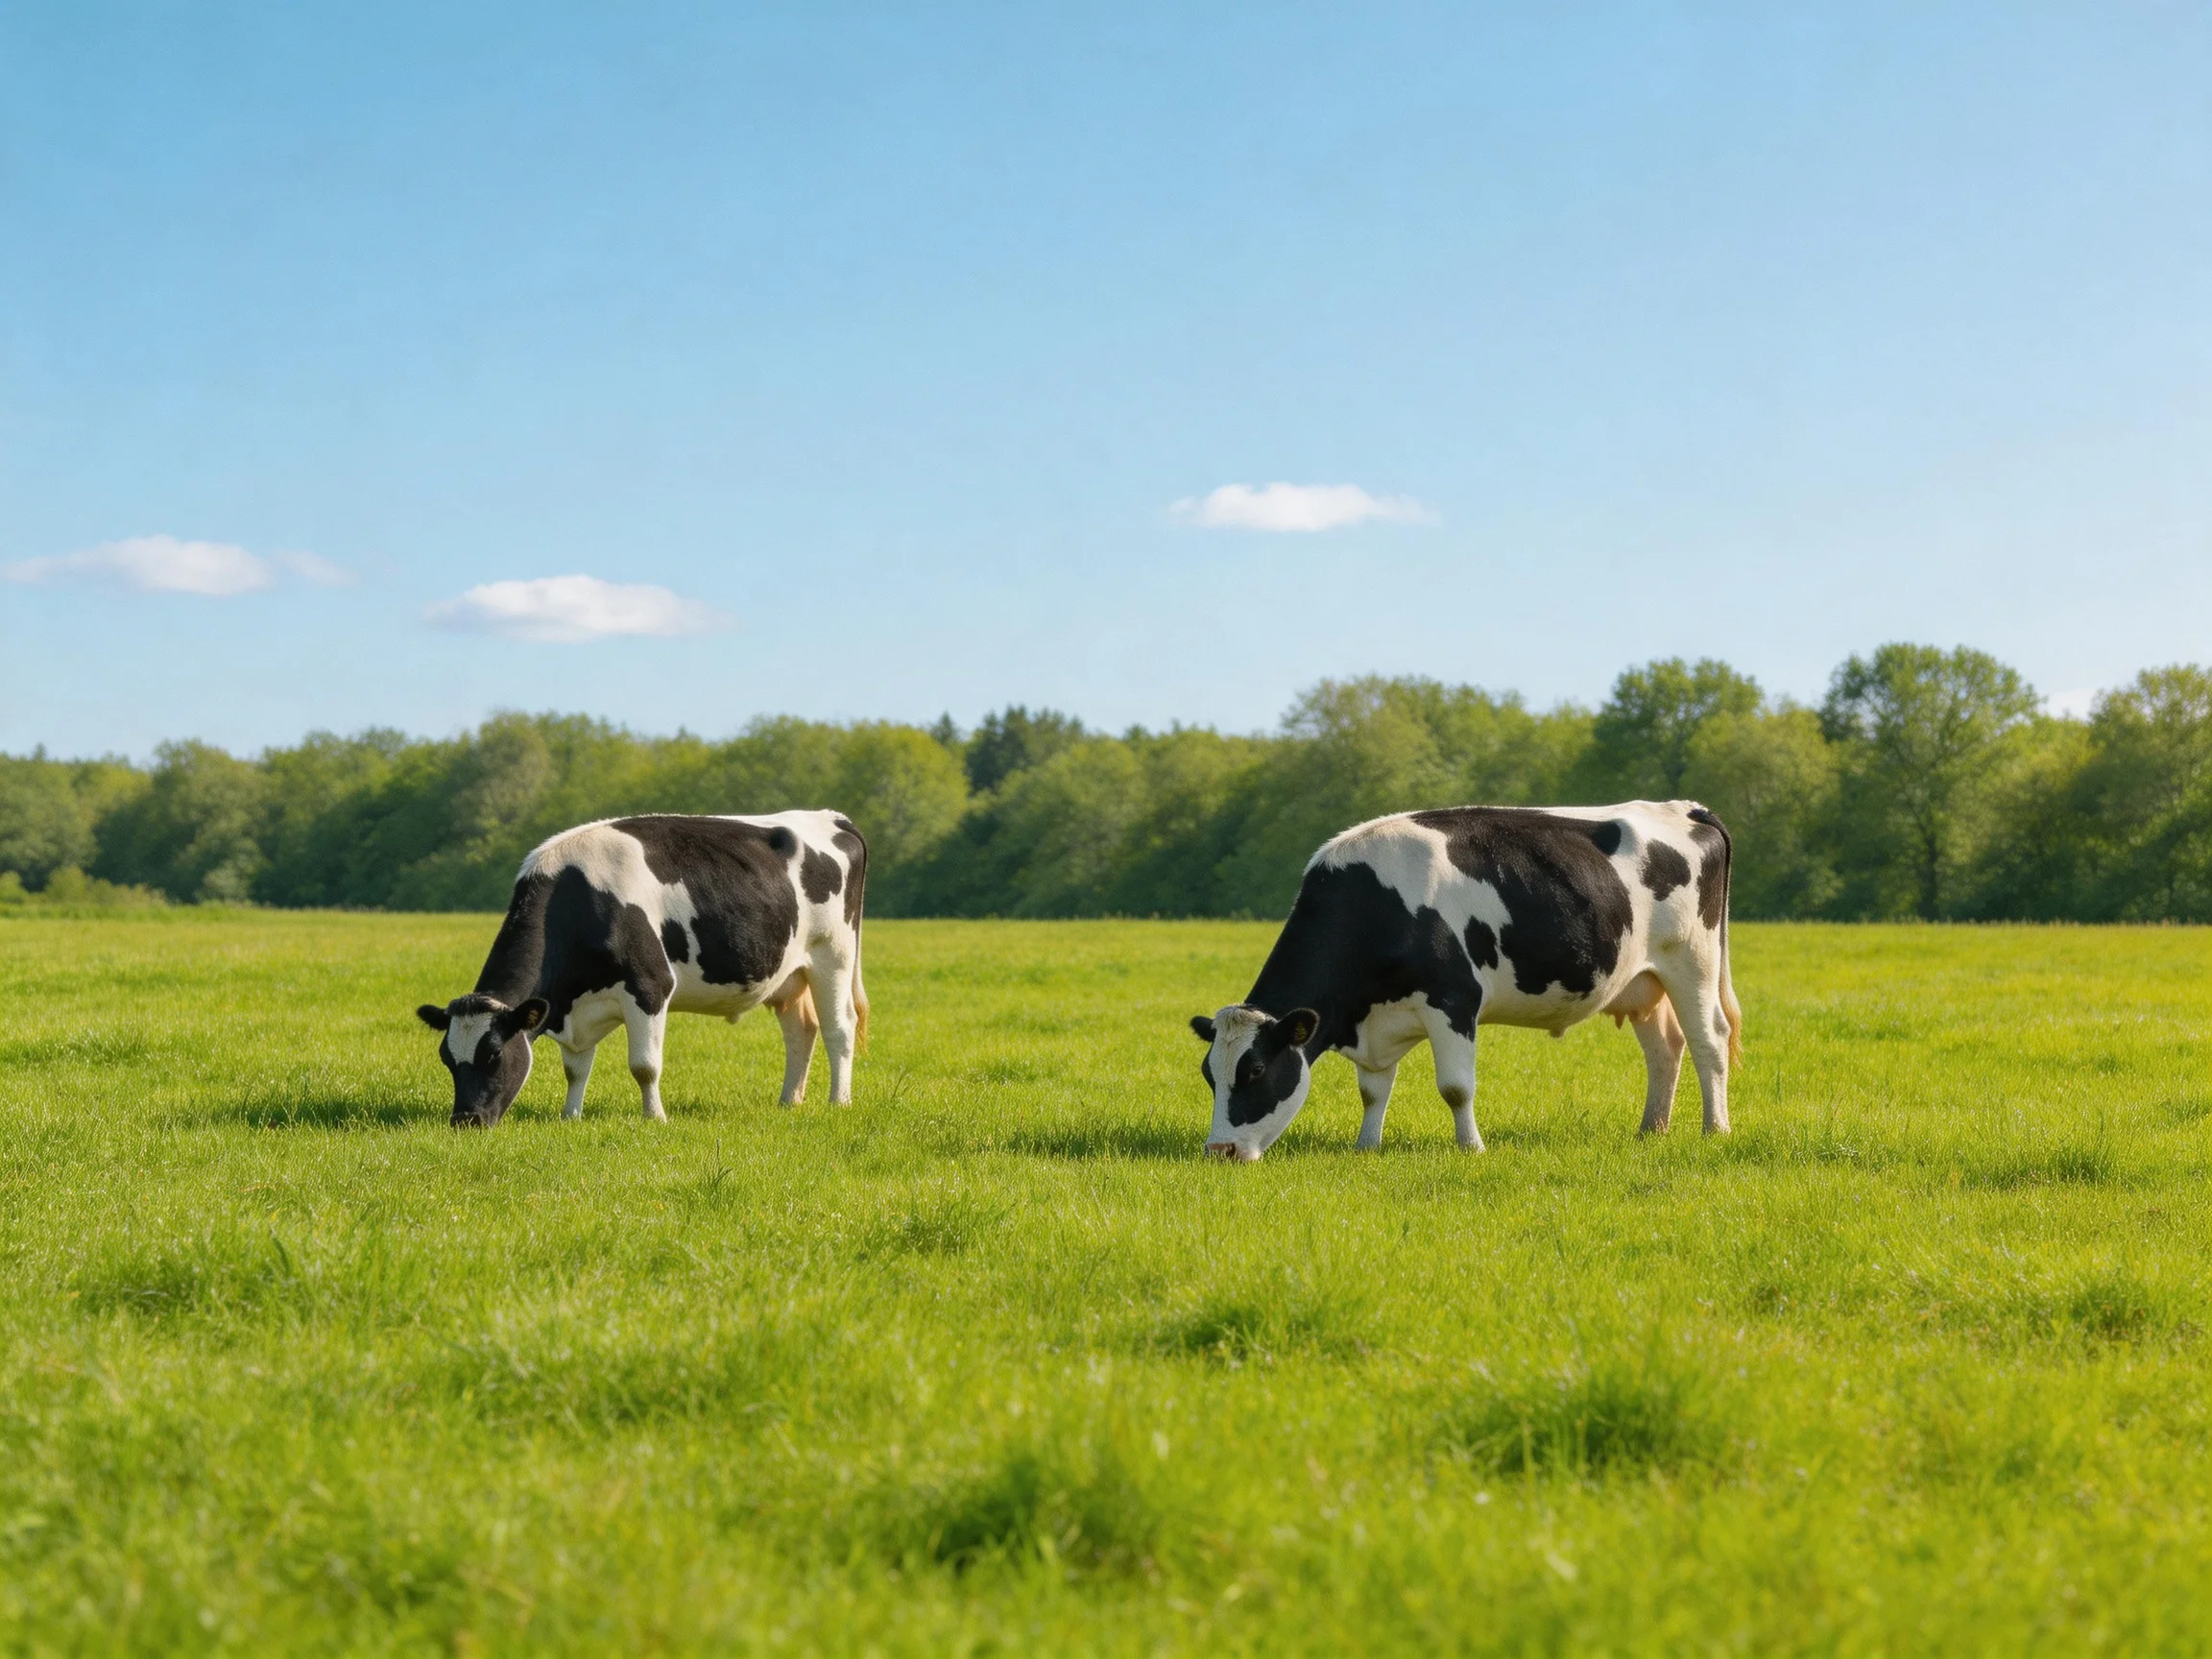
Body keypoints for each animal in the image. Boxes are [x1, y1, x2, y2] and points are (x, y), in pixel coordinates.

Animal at [415, 811, 867, 1127]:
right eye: (446, 1059)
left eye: (493, 1054)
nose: (465, 1121)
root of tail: (832, 818)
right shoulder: (573, 1007)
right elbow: (575, 1069)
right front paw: (570, 1117)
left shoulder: (649, 987)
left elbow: (645, 1066)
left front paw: (655, 1118)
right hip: (789, 975)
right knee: (801, 1030)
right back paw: (789, 1101)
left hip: (834, 954)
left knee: (839, 1027)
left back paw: (840, 1102)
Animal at [1189, 802, 1741, 1161]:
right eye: (1209, 1074)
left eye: (1256, 1070)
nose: (1220, 1150)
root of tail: (1685, 808)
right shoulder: (1377, 1020)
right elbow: (1372, 1090)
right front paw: (1366, 1146)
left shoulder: (1453, 1002)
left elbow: (1455, 1088)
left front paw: (1471, 1147)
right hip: (1643, 981)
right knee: (1665, 1047)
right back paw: (1652, 1130)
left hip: (1692, 959)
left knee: (1709, 1039)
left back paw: (1715, 1130)